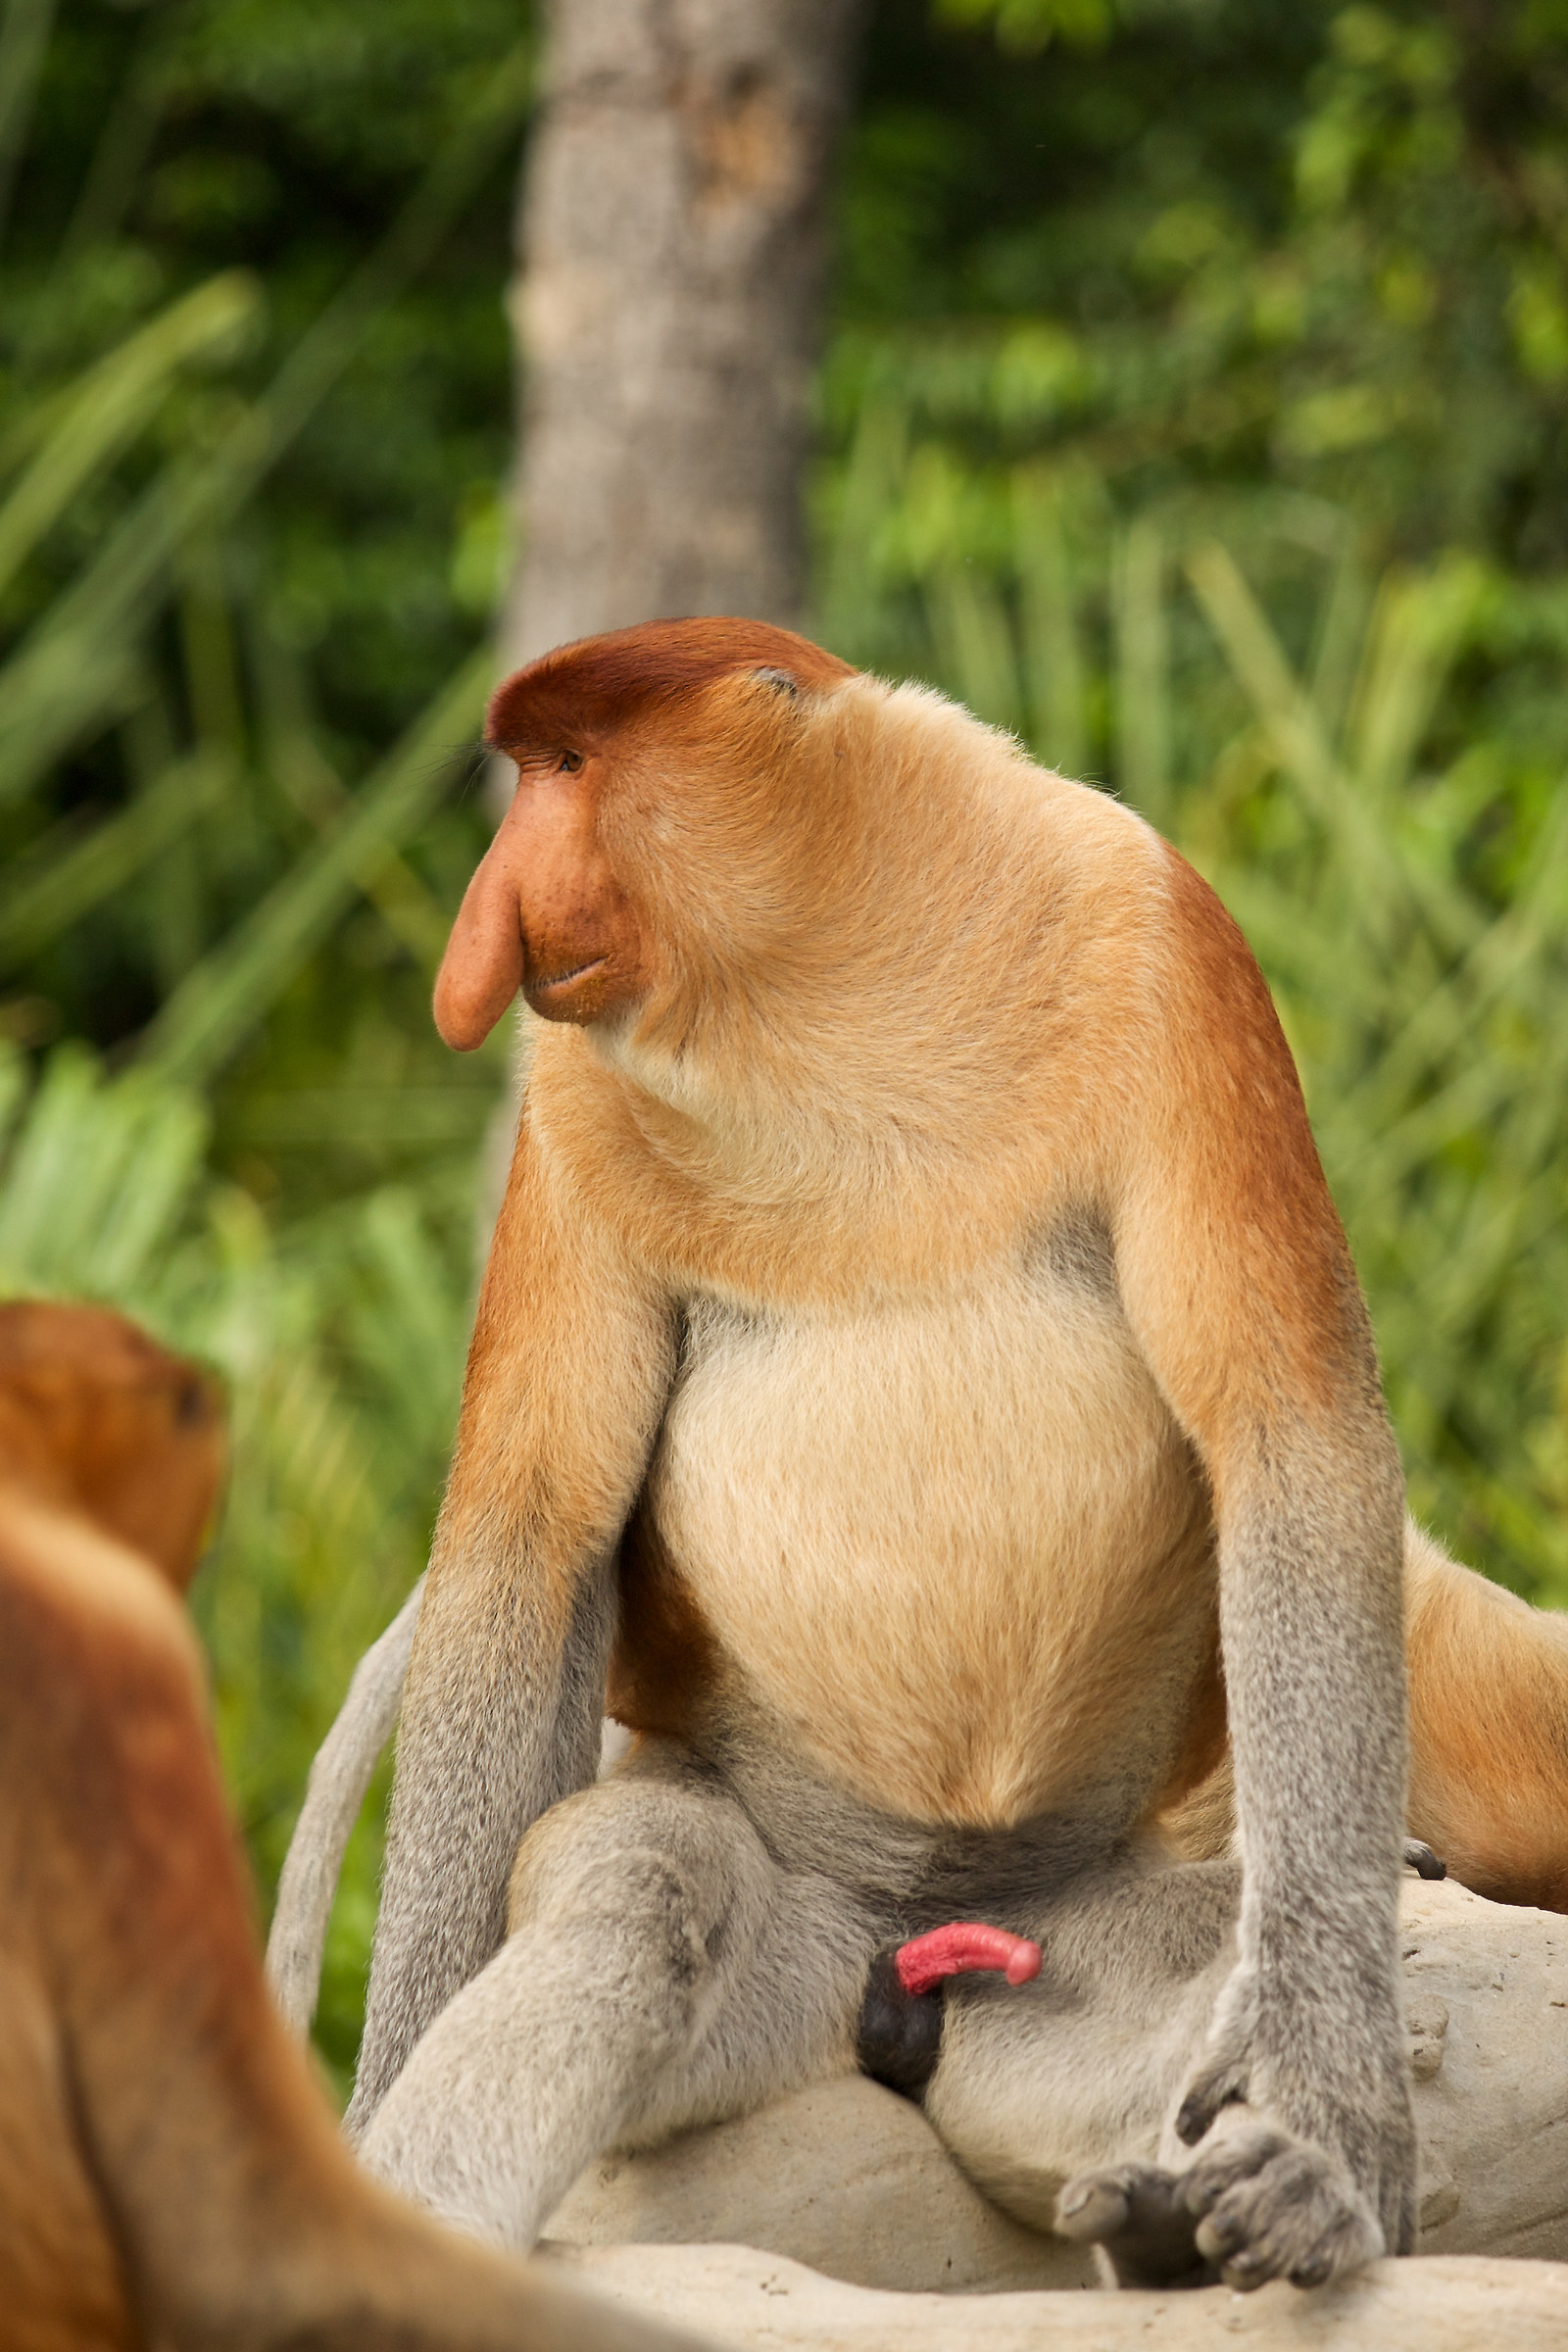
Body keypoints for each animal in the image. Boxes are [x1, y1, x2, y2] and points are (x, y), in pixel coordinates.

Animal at [321, 615, 1458, 2295]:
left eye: (570, 767)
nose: (484, 928)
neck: (822, 986)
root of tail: (892, 1973)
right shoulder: (570, 1099)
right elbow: (536, 1533)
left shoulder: (1167, 949)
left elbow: (1287, 1430)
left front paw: (1325, 2154)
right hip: (776, 1940)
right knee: (638, 1891)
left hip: (1057, 1943)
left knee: (1196, 1950)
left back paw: (1179, 2213)